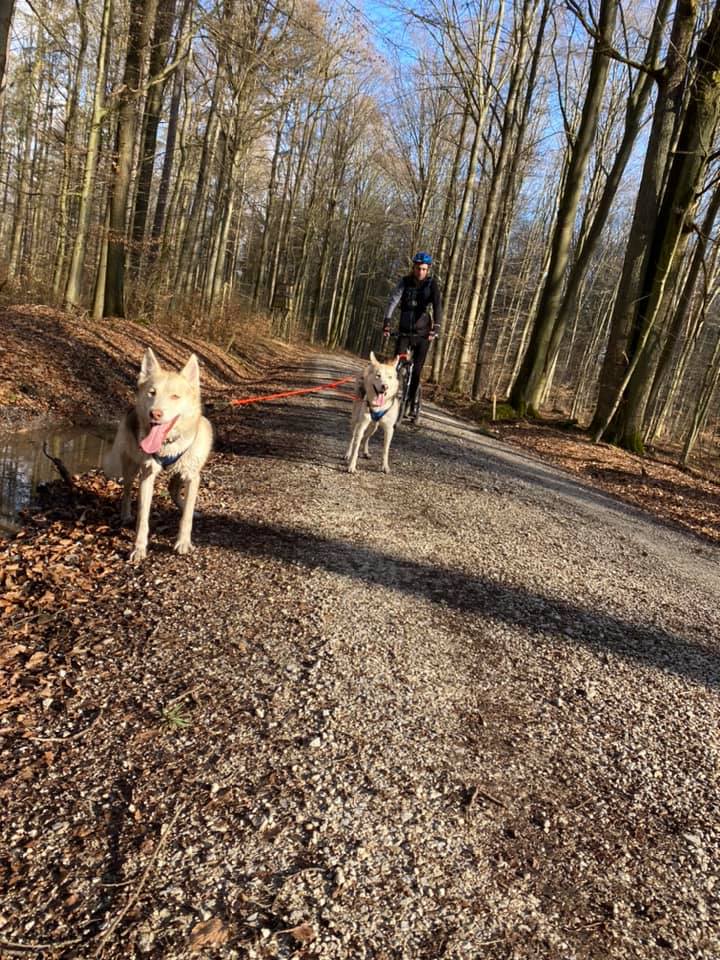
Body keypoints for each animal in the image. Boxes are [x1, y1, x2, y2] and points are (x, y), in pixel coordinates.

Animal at [103, 348, 213, 562]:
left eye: (175, 397)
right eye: (152, 392)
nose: (155, 414)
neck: (168, 444)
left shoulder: (192, 476)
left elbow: (186, 516)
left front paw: (183, 542)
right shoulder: (147, 476)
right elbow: (143, 518)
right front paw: (138, 547)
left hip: (182, 471)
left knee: (174, 490)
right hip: (130, 467)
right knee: (127, 491)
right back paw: (125, 514)